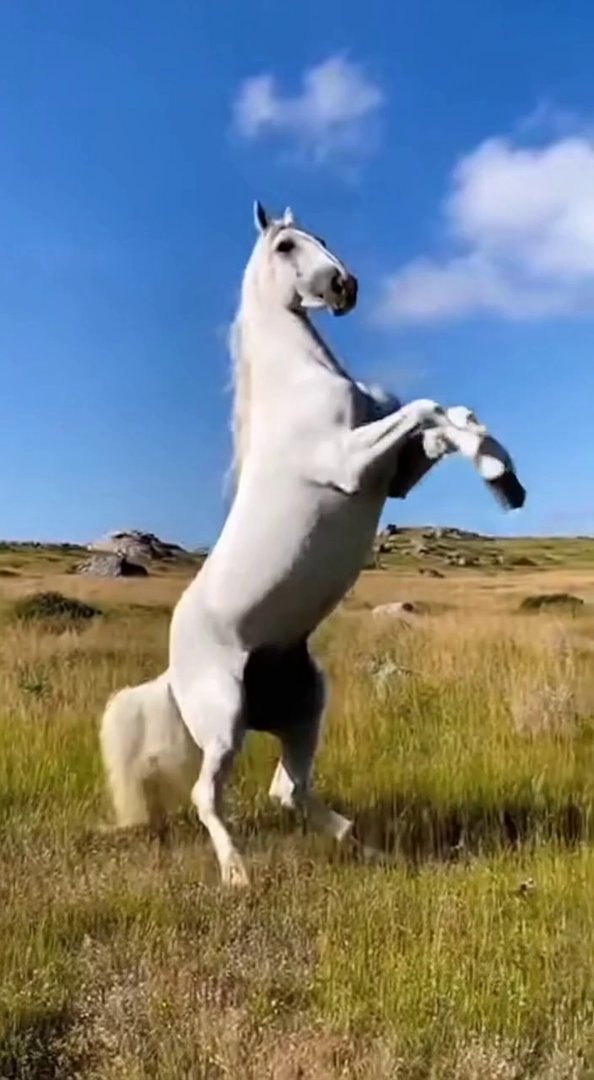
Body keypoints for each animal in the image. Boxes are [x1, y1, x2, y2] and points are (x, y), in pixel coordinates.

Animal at [99, 202, 525, 887]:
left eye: (321, 237)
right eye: (286, 246)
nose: (345, 287)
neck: (301, 381)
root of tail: (174, 669)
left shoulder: (392, 476)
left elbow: (444, 419)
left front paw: (502, 475)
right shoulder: (352, 464)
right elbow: (427, 407)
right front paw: (497, 472)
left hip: (303, 707)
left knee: (288, 791)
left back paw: (368, 850)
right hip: (224, 720)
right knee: (207, 795)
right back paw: (238, 875)